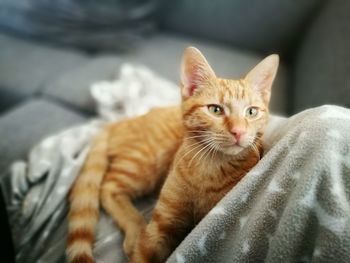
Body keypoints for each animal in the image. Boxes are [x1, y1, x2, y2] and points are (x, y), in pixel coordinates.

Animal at [65, 46, 278, 262]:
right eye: (215, 110)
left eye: (251, 112)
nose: (238, 132)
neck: (211, 166)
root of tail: (120, 121)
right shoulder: (161, 225)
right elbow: (144, 252)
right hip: (142, 163)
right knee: (109, 187)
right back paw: (136, 230)